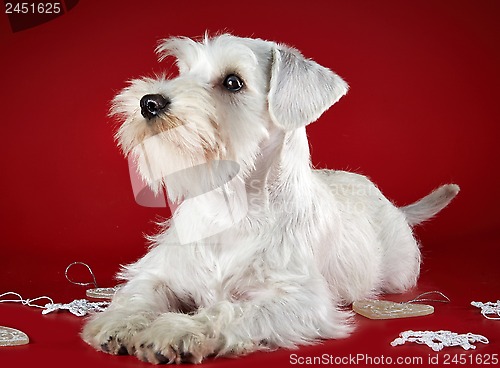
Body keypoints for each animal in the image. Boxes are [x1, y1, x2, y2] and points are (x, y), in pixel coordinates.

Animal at [81, 33, 458, 364]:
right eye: (182, 70)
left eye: (233, 82)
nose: (149, 102)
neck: (229, 207)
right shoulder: (163, 271)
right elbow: (139, 293)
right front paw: (120, 322)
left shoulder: (297, 301)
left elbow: (227, 311)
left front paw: (179, 330)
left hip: (400, 273)